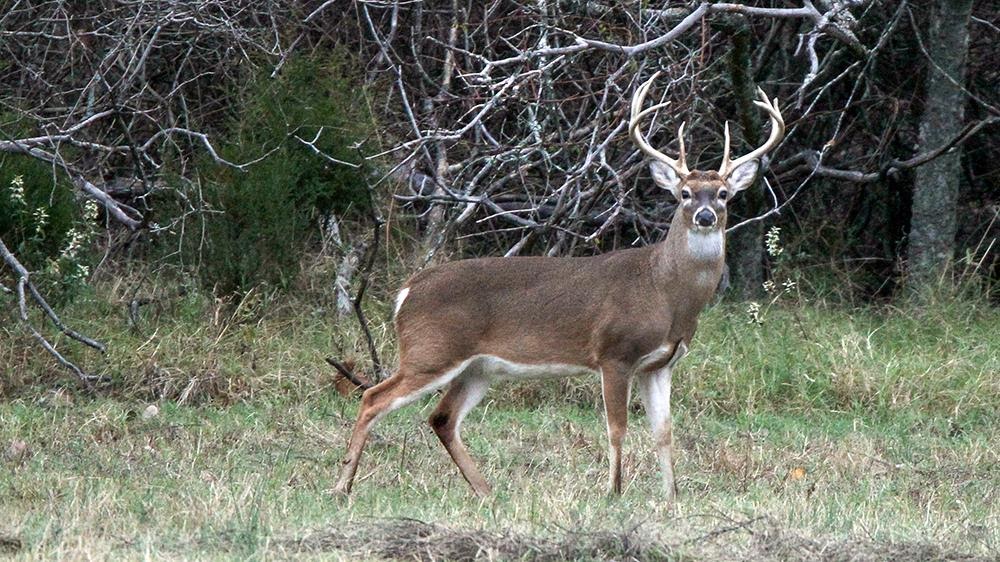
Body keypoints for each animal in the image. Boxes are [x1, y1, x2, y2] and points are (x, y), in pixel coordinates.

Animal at [333, 71, 784, 502]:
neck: (666, 292)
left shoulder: (661, 363)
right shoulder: (614, 353)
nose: (706, 216)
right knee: (373, 398)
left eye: (723, 194)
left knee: (441, 417)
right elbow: (617, 428)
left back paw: (487, 493)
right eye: (685, 193)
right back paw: (342, 486)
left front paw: (672, 497)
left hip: (478, 367)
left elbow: (664, 432)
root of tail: (406, 291)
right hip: (432, 350)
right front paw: (613, 492)